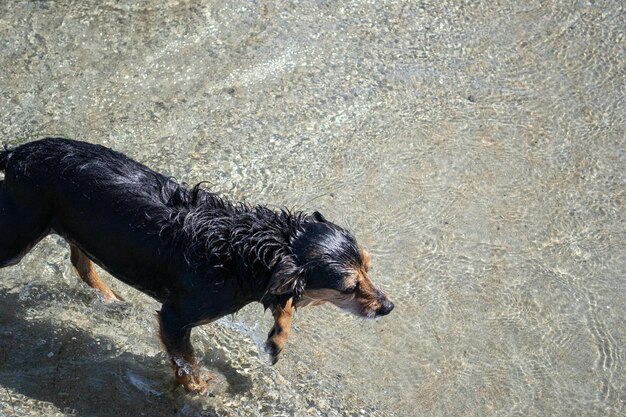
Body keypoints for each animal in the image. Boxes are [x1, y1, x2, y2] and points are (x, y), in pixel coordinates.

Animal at [0, 138, 392, 392]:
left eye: (369, 267)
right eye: (348, 287)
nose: (388, 306)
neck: (247, 252)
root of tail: (18, 152)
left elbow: (286, 304)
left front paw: (277, 338)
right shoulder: (174, 318)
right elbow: (186, 361)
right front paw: (200, 388)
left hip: (78, 228)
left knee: (79, 261)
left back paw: (109, 297)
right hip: (20, 234)